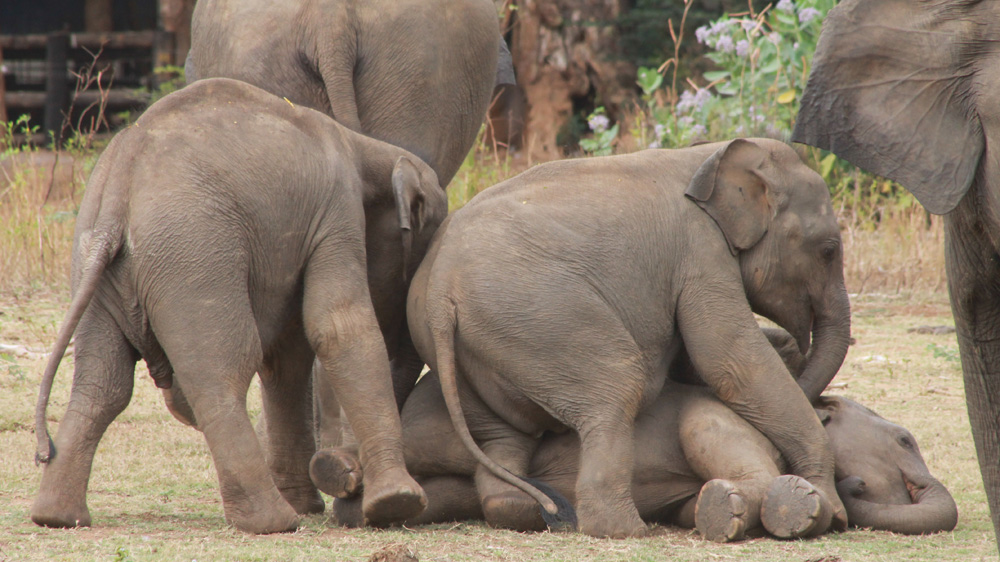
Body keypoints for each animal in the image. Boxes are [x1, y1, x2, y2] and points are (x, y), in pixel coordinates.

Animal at [30, 78, 447, 534]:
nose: (348, 476)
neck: (368, 148)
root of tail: (118, 192)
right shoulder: (336, 214)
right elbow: (338, 327)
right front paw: (397, 503)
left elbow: (287, 357)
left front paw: (312, 503)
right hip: (194, 254)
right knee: (222, 370)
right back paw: (273, 521)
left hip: (97, 264)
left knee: (103, 384)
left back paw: (57, 516)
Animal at [332, 366, 958, 540]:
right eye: (905, 439)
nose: (856, 486)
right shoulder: (717, 413)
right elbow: (710, 437)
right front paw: (790, 507)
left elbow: (689, 504)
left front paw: (716, 511)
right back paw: (337, 471)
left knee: (444, 494)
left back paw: (351, 500)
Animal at [392, 138, 854, 538]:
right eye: (828, 250)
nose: (799, 345)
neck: (707, 155)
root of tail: (439, 294)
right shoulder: (699, 251)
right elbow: (727, 359)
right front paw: (828, 511)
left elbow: (694, 361)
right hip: (541, 316)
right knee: (617, 388)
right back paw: (625, 529)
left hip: (472, 347)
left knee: (504, 437)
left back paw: (532, 508)